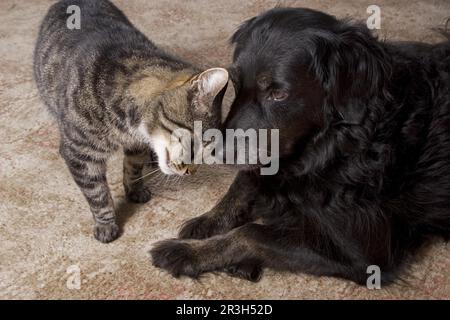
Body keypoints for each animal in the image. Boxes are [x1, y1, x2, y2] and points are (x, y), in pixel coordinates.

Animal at [33, 0, 229, 242]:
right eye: (193, 145)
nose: (191, 172)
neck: (127, 126)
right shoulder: (80, 154)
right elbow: (97, 193)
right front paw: (106, 224)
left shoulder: (136, 145)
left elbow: (133, 167)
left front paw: (135, 190)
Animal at [151, 7, 450, 284]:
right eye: (235, 83)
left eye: (278, 94)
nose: (217, 153)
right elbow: (244, 182)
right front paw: (209, 220)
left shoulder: (366, 254)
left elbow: (252, 233)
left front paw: (187, 253)